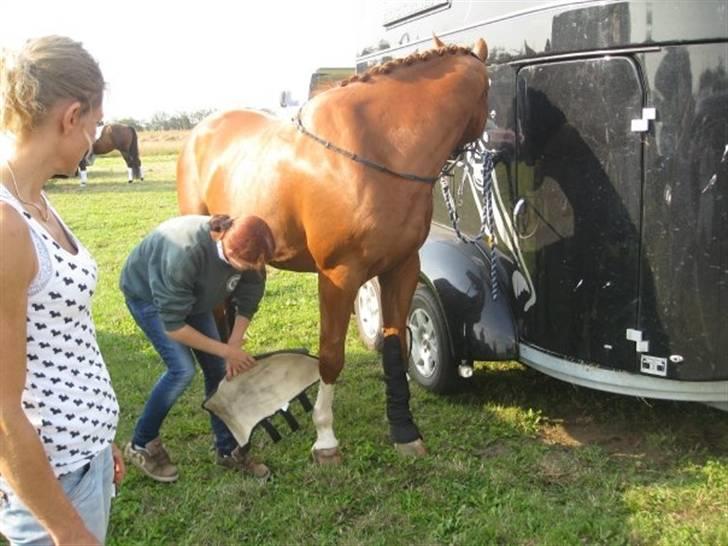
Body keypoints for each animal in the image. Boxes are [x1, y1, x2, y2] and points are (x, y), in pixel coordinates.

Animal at [176, 35, 490, 460]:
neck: (377, 152)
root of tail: (200, 132)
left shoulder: (403, 267)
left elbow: (397, 344)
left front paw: (404, 430)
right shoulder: (338, 276)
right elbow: (330, 355)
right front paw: (325, 437)